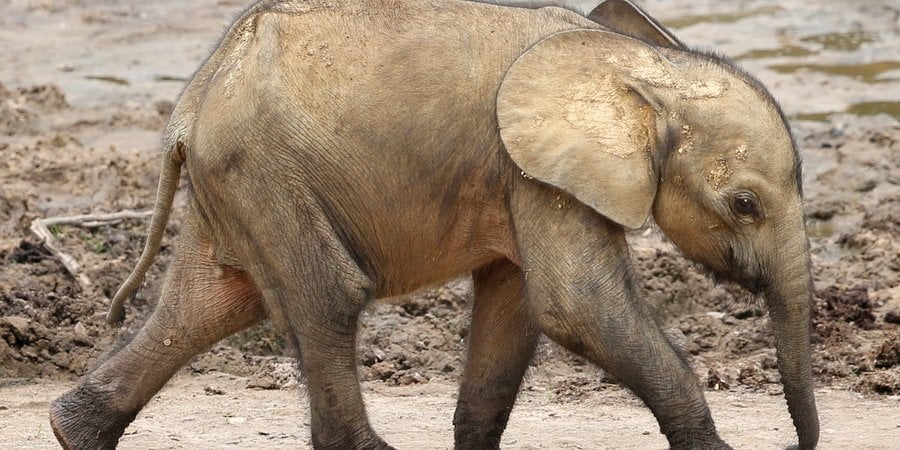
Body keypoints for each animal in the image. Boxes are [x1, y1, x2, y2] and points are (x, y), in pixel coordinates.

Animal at [49, 0, 819, 448]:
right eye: (745, 204)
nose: (792, 444)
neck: (634, 62)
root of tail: (193, 100)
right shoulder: (534, 169)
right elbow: (577, 306)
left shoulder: (522, 175)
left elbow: (517, 308)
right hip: (261, 169)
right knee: (327, 296)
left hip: (239, 179)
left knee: (207, 303)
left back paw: (71, 431)